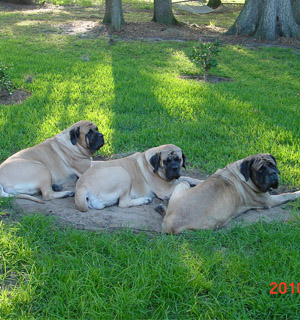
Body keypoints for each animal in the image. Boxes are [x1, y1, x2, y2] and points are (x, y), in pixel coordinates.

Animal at [75, 144, 203, 211]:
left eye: (178, 159)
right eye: (166, 161)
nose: (175, 168)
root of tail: (81, 187)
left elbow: (187, 178)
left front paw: (200, 181)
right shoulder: (165, 190)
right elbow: (185, 182)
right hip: (123, 173)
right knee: (123, 203)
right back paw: (145, 200)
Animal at [162, 154, 300, 234]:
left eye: (273, 165)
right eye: (261, 170)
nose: (273, 174)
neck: (242, 173)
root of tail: (170, 223)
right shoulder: (268, 200)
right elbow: (286, 195)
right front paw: (297, 193)